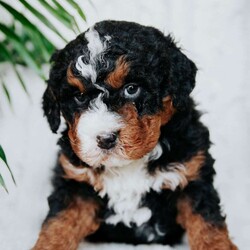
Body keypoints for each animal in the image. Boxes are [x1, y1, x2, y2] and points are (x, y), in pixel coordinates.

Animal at [32, 20, 236, 249]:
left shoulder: (192, 177)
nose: (105, 139)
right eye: (79, 97)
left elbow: (209, 227)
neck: (128, 166)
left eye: (131, 89)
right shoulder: (76, 184)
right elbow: (58, 225)